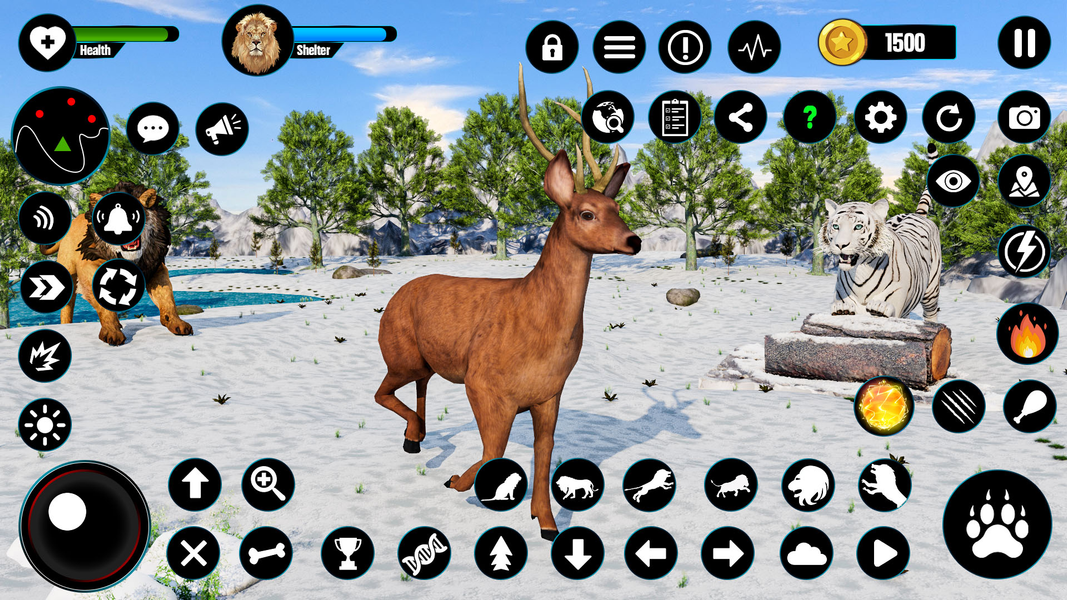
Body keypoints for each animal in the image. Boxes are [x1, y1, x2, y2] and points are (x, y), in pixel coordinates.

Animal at [40, 182, 192, 345]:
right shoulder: (90, 267)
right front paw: (112, 332)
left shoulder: (155, 267)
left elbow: (167, 298)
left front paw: (177, 324)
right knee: (67, 305)